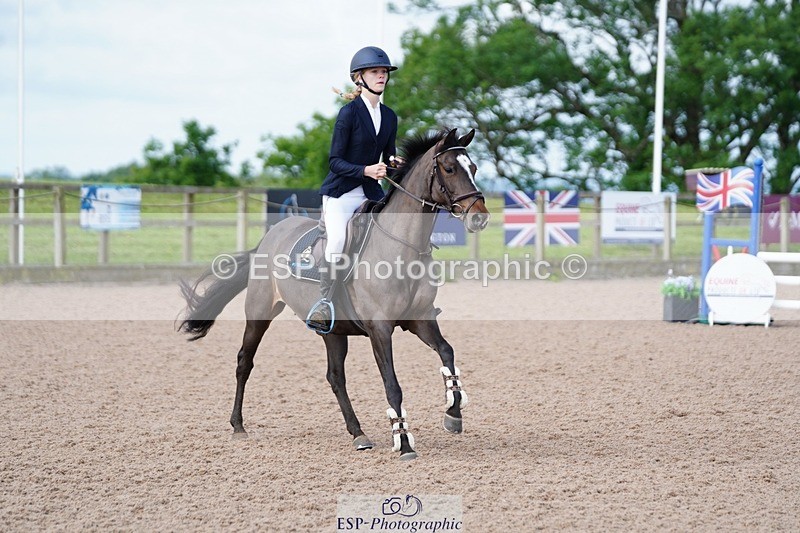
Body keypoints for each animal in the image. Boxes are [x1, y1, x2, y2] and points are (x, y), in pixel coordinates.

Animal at [178, 128, 490, 460]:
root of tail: (270, 236)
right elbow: (392, 385)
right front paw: (404, 441)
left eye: (473, 168)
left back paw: (358, 433)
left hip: (333, 330)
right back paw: (238, 425)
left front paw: (453, 412)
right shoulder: (380, 329)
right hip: (260, 313)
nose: (480, 217)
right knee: (244, 362)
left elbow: (447, 352)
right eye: (450, 168)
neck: (401, 248)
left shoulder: (420, 319)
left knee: (335, 377)